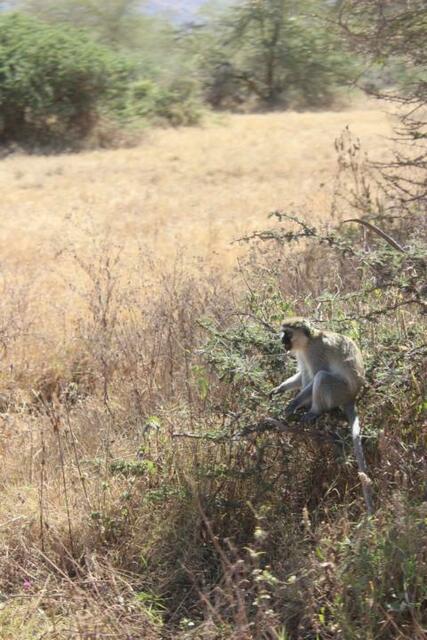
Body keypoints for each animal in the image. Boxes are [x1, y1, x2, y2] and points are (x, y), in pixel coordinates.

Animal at [270, 317, 373, 514]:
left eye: (287, 333)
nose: (281, 340)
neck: (308, 341)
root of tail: (352, 397)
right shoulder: (302, 355)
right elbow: (302, 374)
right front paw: (279, 389)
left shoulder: (315, 353)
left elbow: (315, 376)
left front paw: (292, 405)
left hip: (339, 392)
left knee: (322, 377)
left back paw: (313, 411)